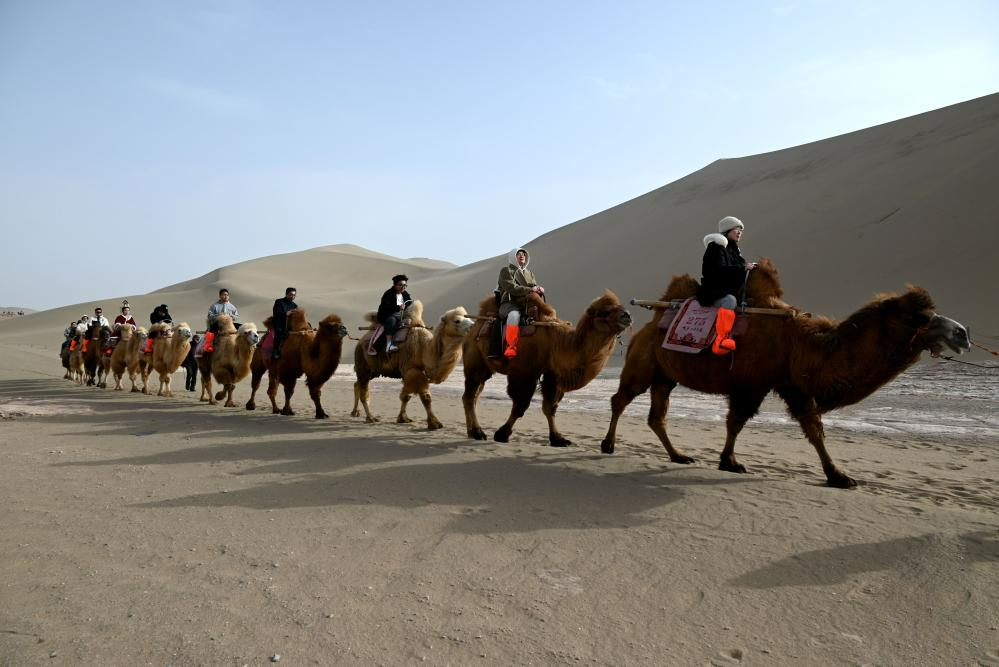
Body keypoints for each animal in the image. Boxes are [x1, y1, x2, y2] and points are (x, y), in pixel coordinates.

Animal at [352, 302, 476, 430]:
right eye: (457, 321)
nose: (474, 326)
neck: (425, 349)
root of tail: (360, 341)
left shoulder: (411, 372)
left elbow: (406, 396)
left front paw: (403, 418)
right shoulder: (412, 370)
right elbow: (425, 397)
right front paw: (434, 423)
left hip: (374, 371)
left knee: (357, 384)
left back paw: (355, 412)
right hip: (363, 365)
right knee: (363, 391)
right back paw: (370, 417)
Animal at [462, 290, 632, 444]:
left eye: (621, 306)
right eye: (605, 311)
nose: (627, 315)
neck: (557, 343)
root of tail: (474, 327)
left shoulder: (552, 375)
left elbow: (550, 407)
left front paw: (558, 438)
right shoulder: (524, 373)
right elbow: (520, 406)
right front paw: (502, 434)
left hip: (485, 369)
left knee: (473, 396)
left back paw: (471, 432)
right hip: (475, 362)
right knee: (470, 396)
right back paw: (477, 432)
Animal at [600, 258, 968, 488]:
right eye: (921, 317)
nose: (962, 333)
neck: (800, 344)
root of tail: (647, 324)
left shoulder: (791, 385)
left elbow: (813, 429)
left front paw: (839, 476)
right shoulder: (752, 384)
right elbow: (737, 422)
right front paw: (729, 461)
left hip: (666, 375)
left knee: (657, 415)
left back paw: (678, 456)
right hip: (643, 362)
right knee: (621, 398)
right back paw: (608, 445)